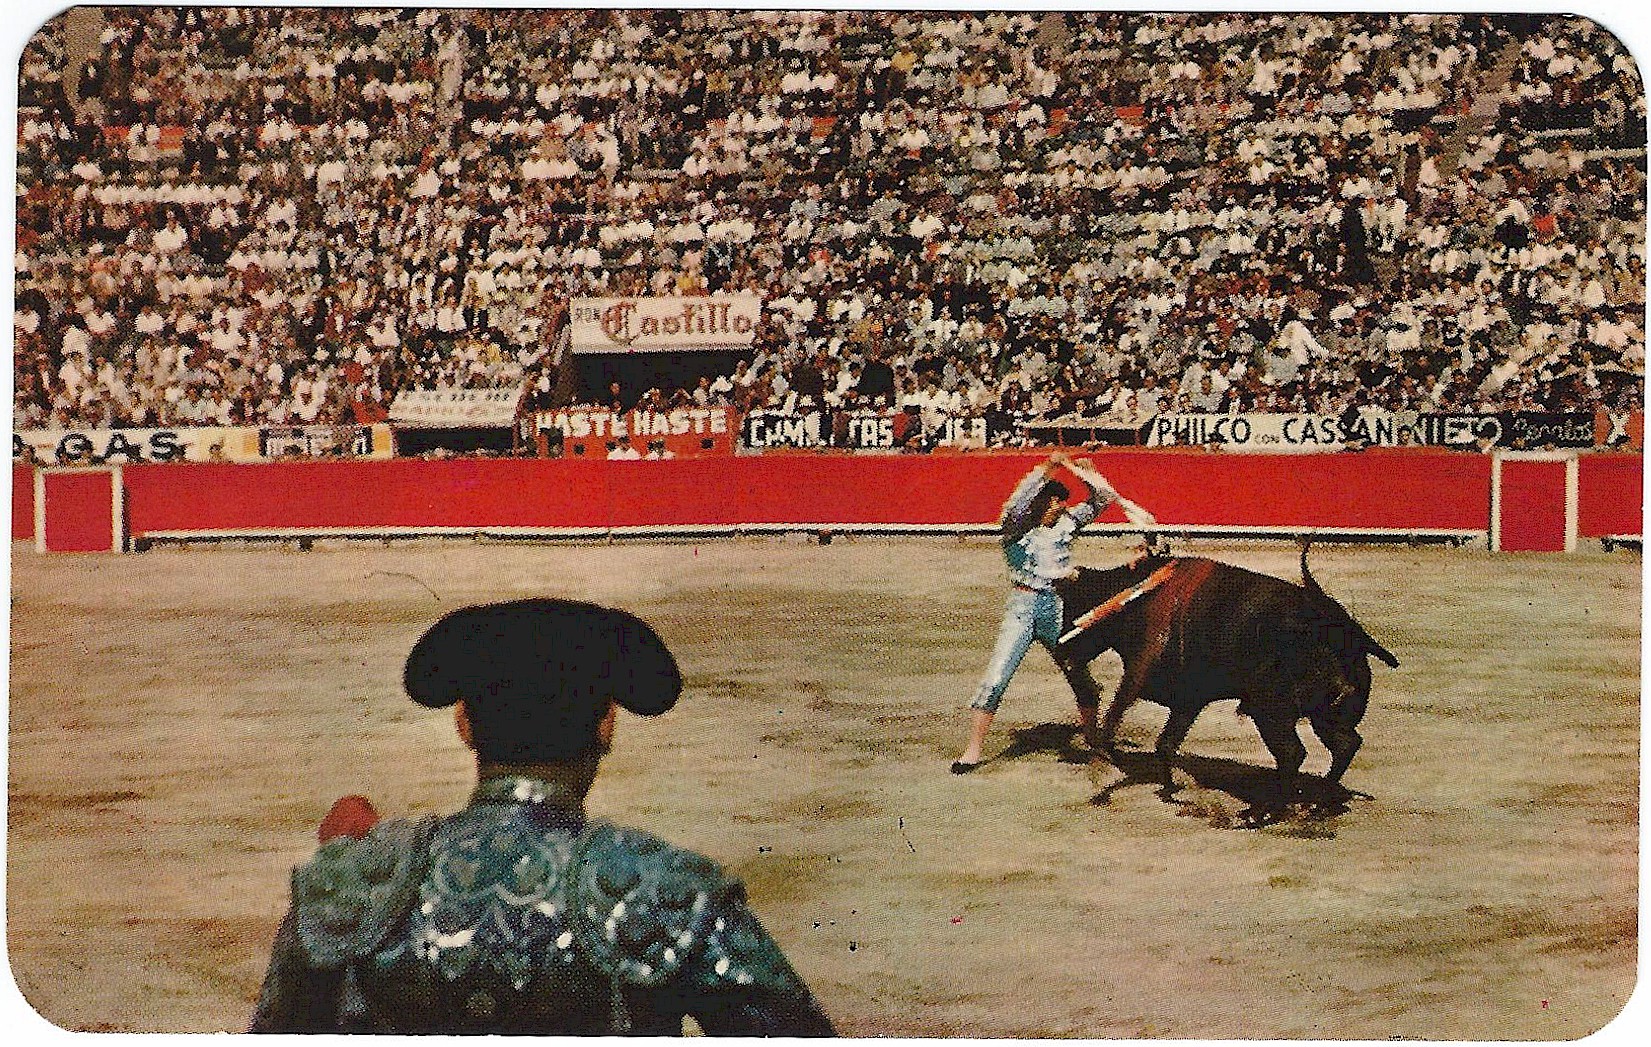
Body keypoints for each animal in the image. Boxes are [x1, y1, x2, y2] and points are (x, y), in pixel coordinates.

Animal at [1056, 551, 1393, 786]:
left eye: (1071, 609)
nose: (1064, 655)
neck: (1133, 599)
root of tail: (1335, 624)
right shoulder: (1188, 699)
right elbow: (1165, 744)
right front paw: (1170, 786)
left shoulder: (1138, 673)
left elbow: (1114, 718)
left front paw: (1102, 763)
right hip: (1325, 715)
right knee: (1345, 744)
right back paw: (1322, 791)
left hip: (1270, 711)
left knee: (1293, 753)